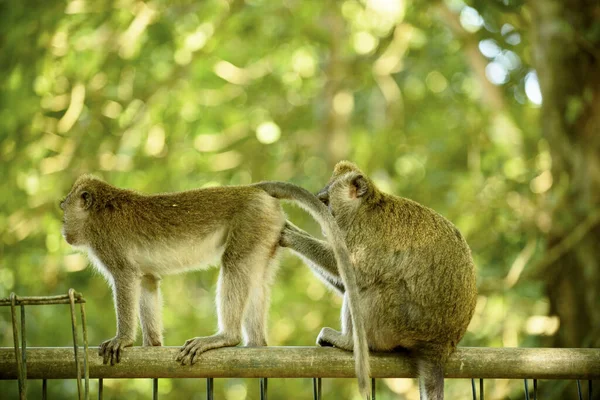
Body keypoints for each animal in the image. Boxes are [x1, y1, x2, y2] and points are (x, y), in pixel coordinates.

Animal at [59, 174, 370, 396]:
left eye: (64, 209)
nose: (63, 230)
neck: (99, 211)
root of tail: (252, 189)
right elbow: (147, 281)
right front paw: (153, 345)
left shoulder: (108, 243)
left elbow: (125, 278)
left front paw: (122, 339)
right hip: (266, 227)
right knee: (256, 280)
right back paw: (257, 346)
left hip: (251, 220)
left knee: (235, 264)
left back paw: (226, 337)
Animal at [278, 162, 478, 400]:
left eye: (326, 202)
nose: (323, 225)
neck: (363, 209)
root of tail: (440, 344)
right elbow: (347, 282)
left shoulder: (365, 236)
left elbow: (355, 274)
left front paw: (291, 236)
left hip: (395, 323)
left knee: (370, 290)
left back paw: (347, 341)